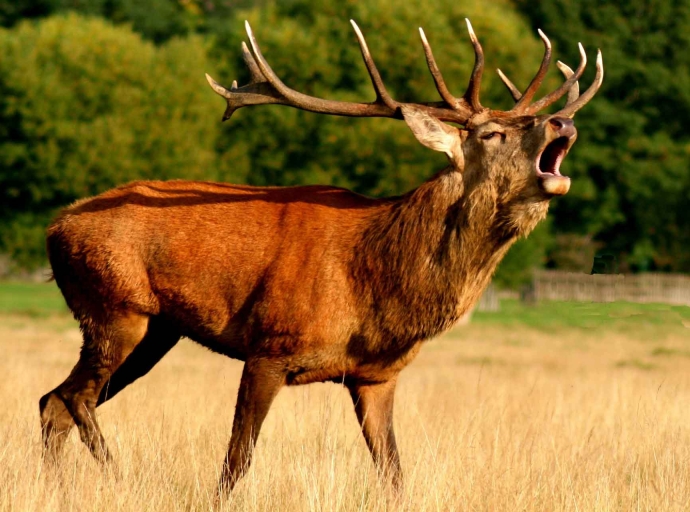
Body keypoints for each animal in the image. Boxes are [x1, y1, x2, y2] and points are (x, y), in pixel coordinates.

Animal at [37, 19, 600, 496]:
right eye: (491, 133)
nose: (561, 122)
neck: (375, 285)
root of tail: (55, 227)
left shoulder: (376, 375)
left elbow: (393, 473)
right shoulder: (269, 344)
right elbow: (236, 462)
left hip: (157, 330)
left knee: (53, 402)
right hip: (114, 306)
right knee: (73, 397)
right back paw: (118, 477)